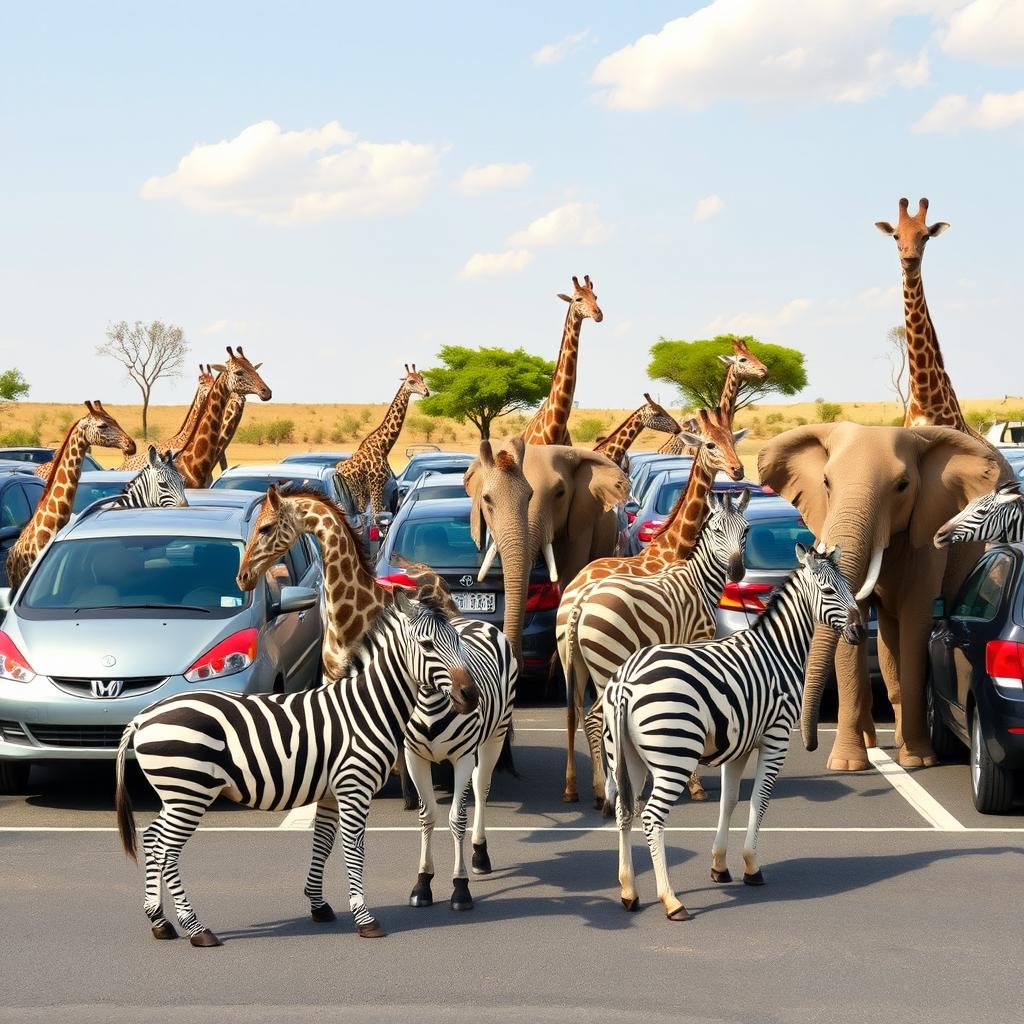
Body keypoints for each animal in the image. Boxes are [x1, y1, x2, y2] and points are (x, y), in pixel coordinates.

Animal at [114, 585, 481, 946]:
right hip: (188, 791)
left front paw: (319, 906)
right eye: (427, 645)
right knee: (167, 850)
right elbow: (354, 849)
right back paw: (195, 928)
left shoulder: (331, 792)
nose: (471, 695)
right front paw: (365, 919)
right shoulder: (355, 787)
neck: (367, 708)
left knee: (152, 839)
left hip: (175, 793)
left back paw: (160, 922)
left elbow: (323, 843)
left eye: (458, 641)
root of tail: (143, 717)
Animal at [338, 365, 429, 516]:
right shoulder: (377, 485)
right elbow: (376, 515)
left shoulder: (373, 489)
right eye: (411, 381)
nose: (426, 392)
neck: (383, 446)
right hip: (355, 493)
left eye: (421, 378)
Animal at [557, 405, 747, 804]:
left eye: (732, 438)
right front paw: (691, 783)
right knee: (591, 715)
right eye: (709, 444)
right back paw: (602, 786)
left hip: (570, 658)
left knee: (572, 713)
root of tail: (574, 596)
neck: (675, 547)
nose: (738, 470)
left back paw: (573, 787)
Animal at [602, 543, 864, 922]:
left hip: (626, 756)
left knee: (624, 812)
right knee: (651, 817)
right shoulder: (777, 737)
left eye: (850, 590)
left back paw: (628, 892)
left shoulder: (737, 745)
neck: (779, 651)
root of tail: (627, 679)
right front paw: (752, 866)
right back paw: (671, 900)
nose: (860, 631)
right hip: (675, 754)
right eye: (829, 592)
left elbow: (729, 801)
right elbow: (759, 799)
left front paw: (719, 866)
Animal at [758, 423, 1000, 770]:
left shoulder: (926, 534)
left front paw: (918, 760)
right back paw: (871, 742)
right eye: (826, 483)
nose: (810, 744)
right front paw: (846, 764)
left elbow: (916, 622)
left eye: (902, 486)